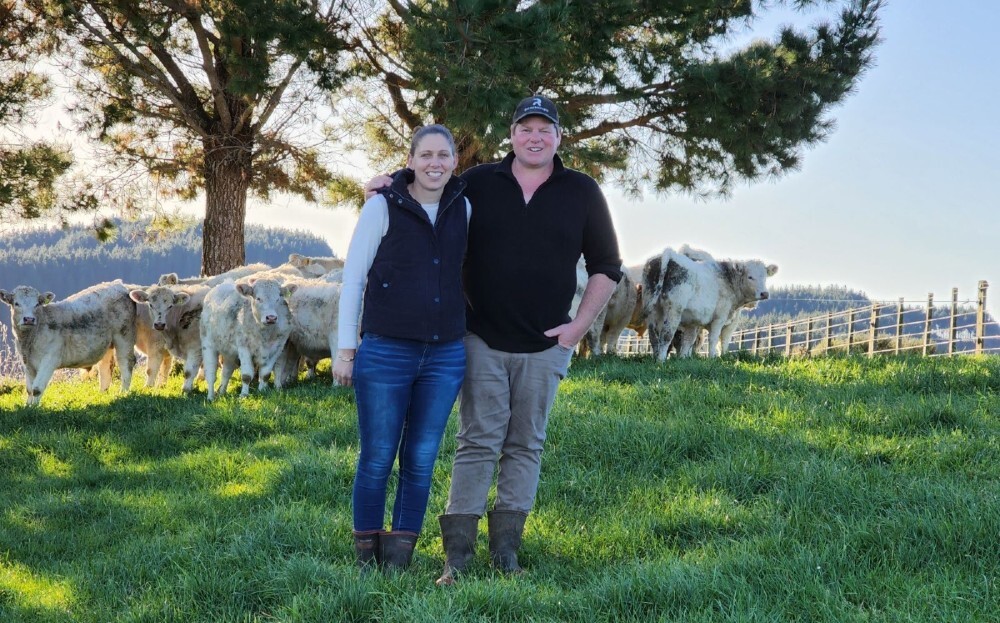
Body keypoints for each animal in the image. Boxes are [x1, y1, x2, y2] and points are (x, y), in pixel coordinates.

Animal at [0, 280, 137, 408]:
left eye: (37, 304)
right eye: (16, 303)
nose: (29, 319)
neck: (28, 343)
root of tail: (120, 284)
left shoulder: (50, 359)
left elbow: (36, 389)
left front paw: (34, 409)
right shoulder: (27, 363)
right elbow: (29, 389)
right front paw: (27, 407)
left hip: (124, 335)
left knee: (126, 363)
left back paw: (123, 393)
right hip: (107, 344)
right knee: (106, 367)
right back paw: (103, 394)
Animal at [640, 245, 780, 360]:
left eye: (765, 277)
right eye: (750, 276)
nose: (764, 293)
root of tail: (670, 253)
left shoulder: (693, 320)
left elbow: (688, 340)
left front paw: (683, 359)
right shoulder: (720, 319)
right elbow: (716, 339)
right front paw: (713, 357)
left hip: (652, 310)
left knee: (654, 337)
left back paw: (656, 357)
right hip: (674, 310)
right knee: (666, 334)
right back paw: (661, 360)